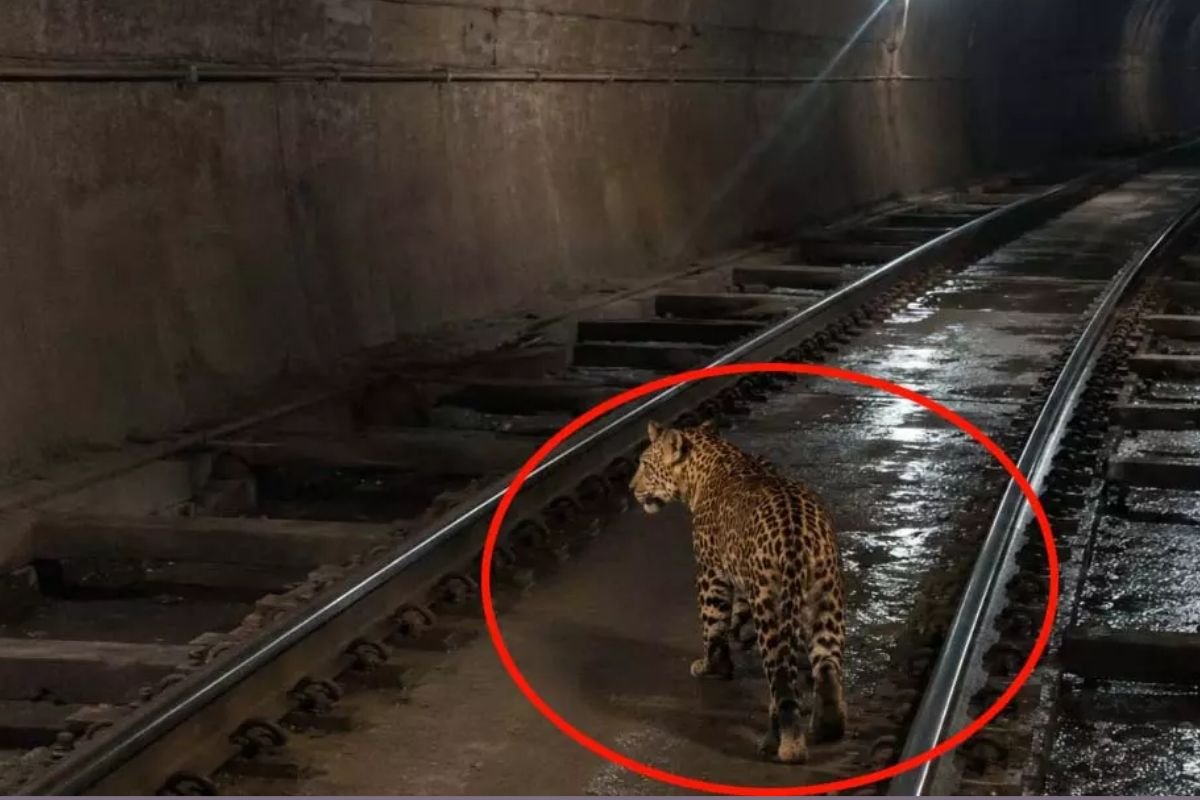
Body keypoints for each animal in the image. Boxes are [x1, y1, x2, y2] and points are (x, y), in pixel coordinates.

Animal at [628, 418, 847, 764]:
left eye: (646, 465)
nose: (630, 488)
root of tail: (798, 536)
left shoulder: (711, 573)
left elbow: (712, 627)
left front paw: (712, 668)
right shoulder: (740, 574)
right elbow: (733, 616)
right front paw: (734, 636)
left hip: (772, 607)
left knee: (782, 681)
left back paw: (785, 745)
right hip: (825, 598)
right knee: (826, 667)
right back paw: (829, 727)